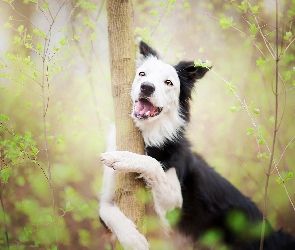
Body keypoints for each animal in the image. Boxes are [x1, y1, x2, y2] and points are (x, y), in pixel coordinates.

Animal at [100, 40, 295, 249]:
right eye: (142, 74)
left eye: (168, 82)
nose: (146, 87)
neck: (150, 135)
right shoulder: (107, 201)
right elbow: (107, 210)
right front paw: (132, 237)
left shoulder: (174, 208)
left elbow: (153, 164)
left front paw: (123, 158)